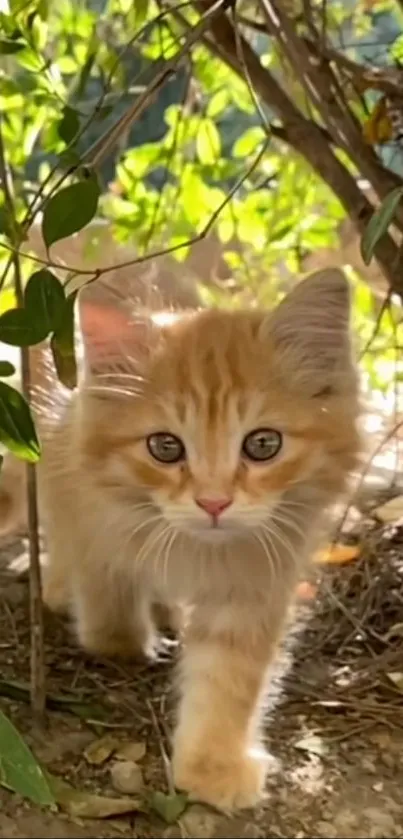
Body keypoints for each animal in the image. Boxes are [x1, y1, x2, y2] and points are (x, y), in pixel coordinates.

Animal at [0, 268, 360, 808]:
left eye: (263, 444)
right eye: (165, 447)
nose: (213, 503)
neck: (196, 550)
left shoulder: (254, 577)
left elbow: (227, 676)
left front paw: (213, 764)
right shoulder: (86, 499)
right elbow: (107, 587)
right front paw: (122, 639)